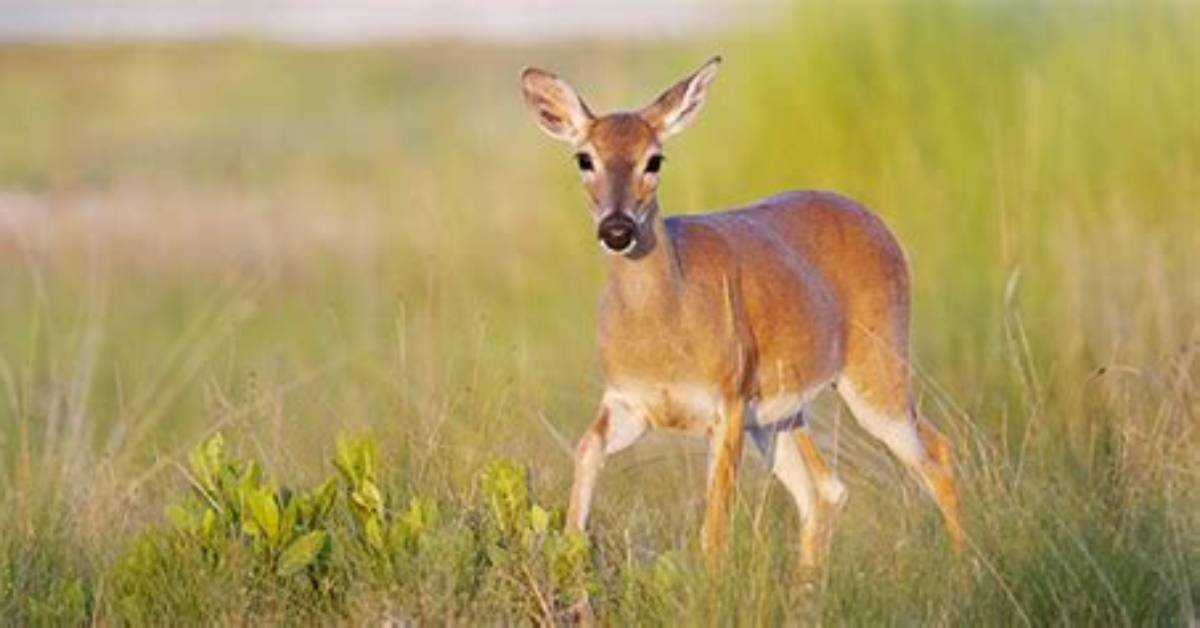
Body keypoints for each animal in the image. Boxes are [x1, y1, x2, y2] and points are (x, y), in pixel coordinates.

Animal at [519, 56, 965, 577]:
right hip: (779, 412)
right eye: (584, 158)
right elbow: (585, 452)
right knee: (824, 490)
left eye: (655, 159)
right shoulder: (628, 401)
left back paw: (969, 571)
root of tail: (878, 223)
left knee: (935, 452)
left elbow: (714, 530)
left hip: (877, 366)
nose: (617, 229)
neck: (663, 334)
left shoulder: (726, 400)